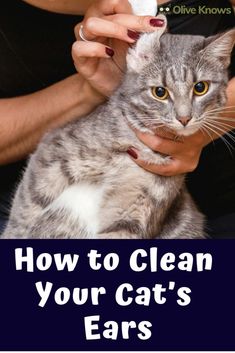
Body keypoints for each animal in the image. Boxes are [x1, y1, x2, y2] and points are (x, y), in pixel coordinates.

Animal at [1, 23, 235, 238]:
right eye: (160, 92)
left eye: (200, 88)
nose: (184, 118)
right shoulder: (52, 150)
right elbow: (26, 209)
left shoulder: (134, 209)